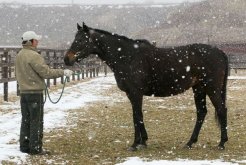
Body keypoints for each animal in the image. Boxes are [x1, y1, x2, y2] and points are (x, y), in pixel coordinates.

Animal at [64, 22, 229, 150]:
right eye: (75, 38)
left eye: (81, 40)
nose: (67, 59)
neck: (126, 56)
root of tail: (219, 52)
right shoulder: (131, 94)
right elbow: (136, 116)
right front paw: (142, 141)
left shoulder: (136, 93)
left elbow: (137, 115)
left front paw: (136, 143)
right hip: (199, 88)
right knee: (202, 112)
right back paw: (190, 143)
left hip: (211, 88)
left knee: (221, 110)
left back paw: (221, 143)